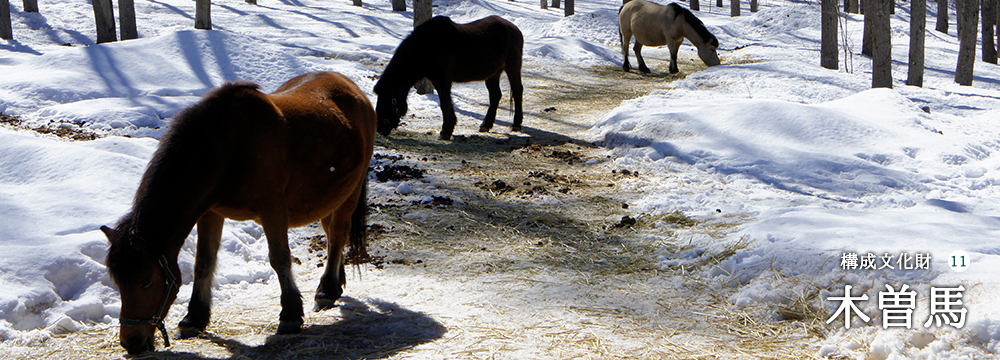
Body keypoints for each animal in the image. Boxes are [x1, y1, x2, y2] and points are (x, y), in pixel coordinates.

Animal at [102, 71, 376, 356]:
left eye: (145, 281)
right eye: (118, 282)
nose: (131, 342)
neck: (227, 149)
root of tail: (350, 86)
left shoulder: (272, 208)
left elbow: (280, 259)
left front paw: (290, 315)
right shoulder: (210, 212)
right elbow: (204, 263)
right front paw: (193, 319)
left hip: (350, 194)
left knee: (337, 236)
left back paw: (327, 290)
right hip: (328, 199)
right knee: (333, 236)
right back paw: (335, 283)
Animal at [372, 15, 520, 142]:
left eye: (389, 100)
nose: (379, 129)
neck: (429, 45)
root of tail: (513, 28)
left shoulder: (444, 81)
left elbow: (444, 104)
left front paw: (445, 131)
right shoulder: (437, 81)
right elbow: (447, 104)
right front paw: (450, 127)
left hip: (512, 68)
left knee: (518, 91)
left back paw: (516, 124)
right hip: (492, 74)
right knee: (495, 96)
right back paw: (486, 124)